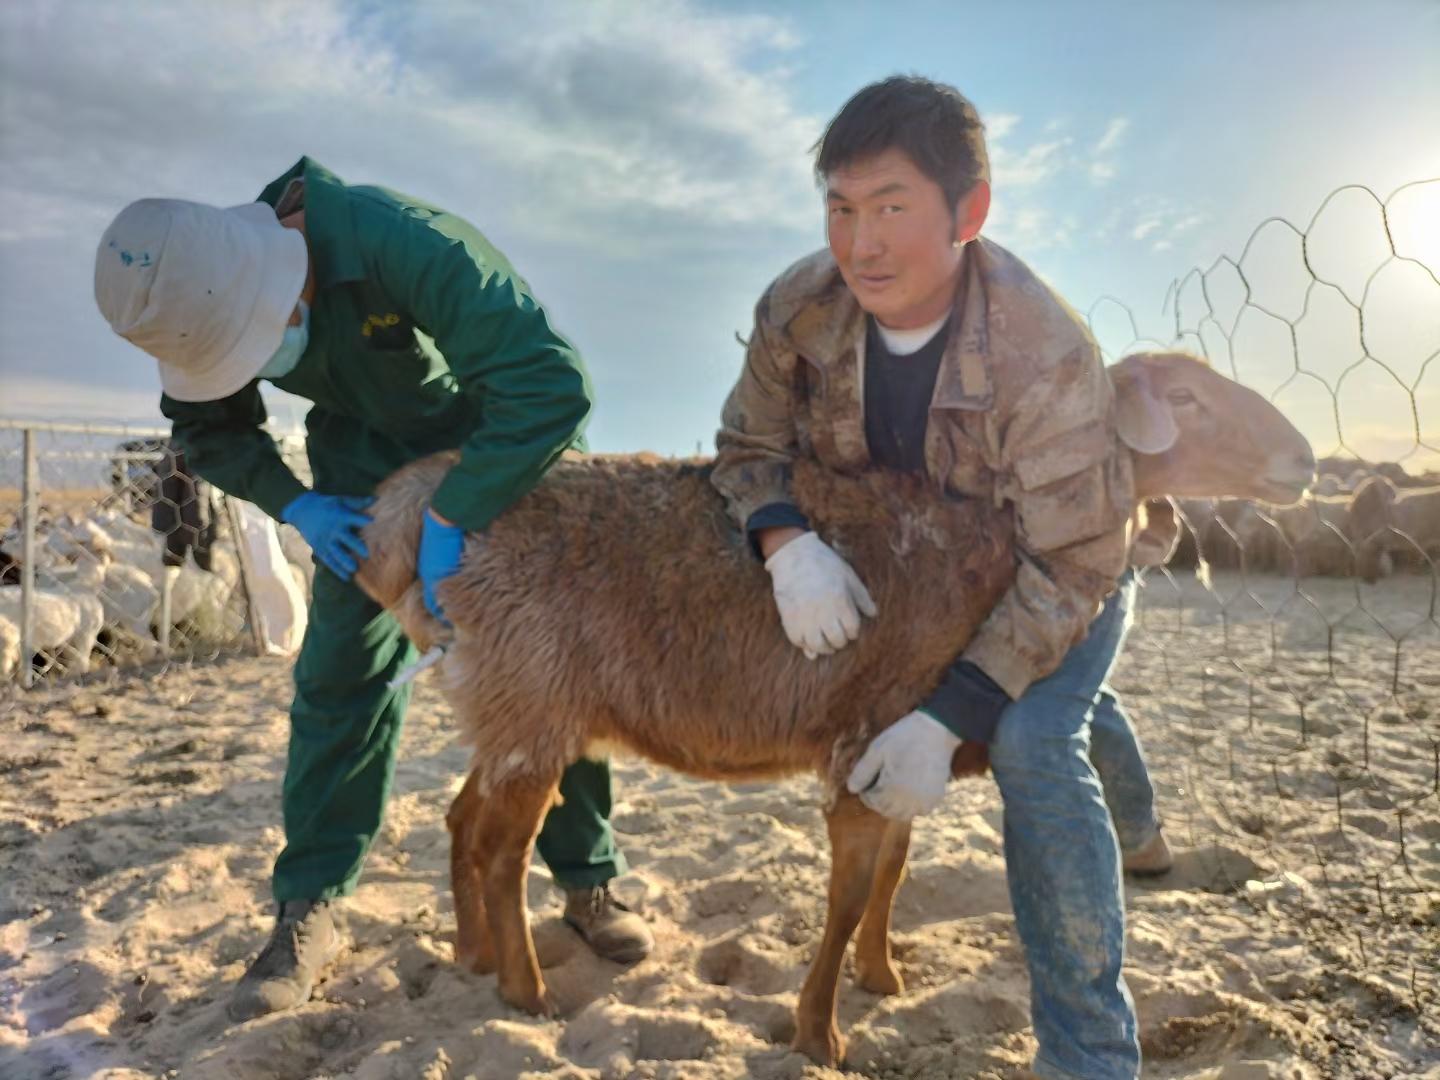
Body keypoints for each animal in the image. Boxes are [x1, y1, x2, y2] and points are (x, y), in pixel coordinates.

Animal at [348, 348, 1319, 1065]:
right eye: (1186, 396)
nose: (1305, 460)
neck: (990, 549)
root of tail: (408, 512)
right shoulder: (862, 741)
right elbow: (848, 894)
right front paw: (820, 1037)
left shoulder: (907, 747)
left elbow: (891, 875)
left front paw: (883, 978)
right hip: (531, 695)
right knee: (504, 851)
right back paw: (528, 994)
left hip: (509, 703)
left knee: (462, 821)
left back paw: (472, 956)